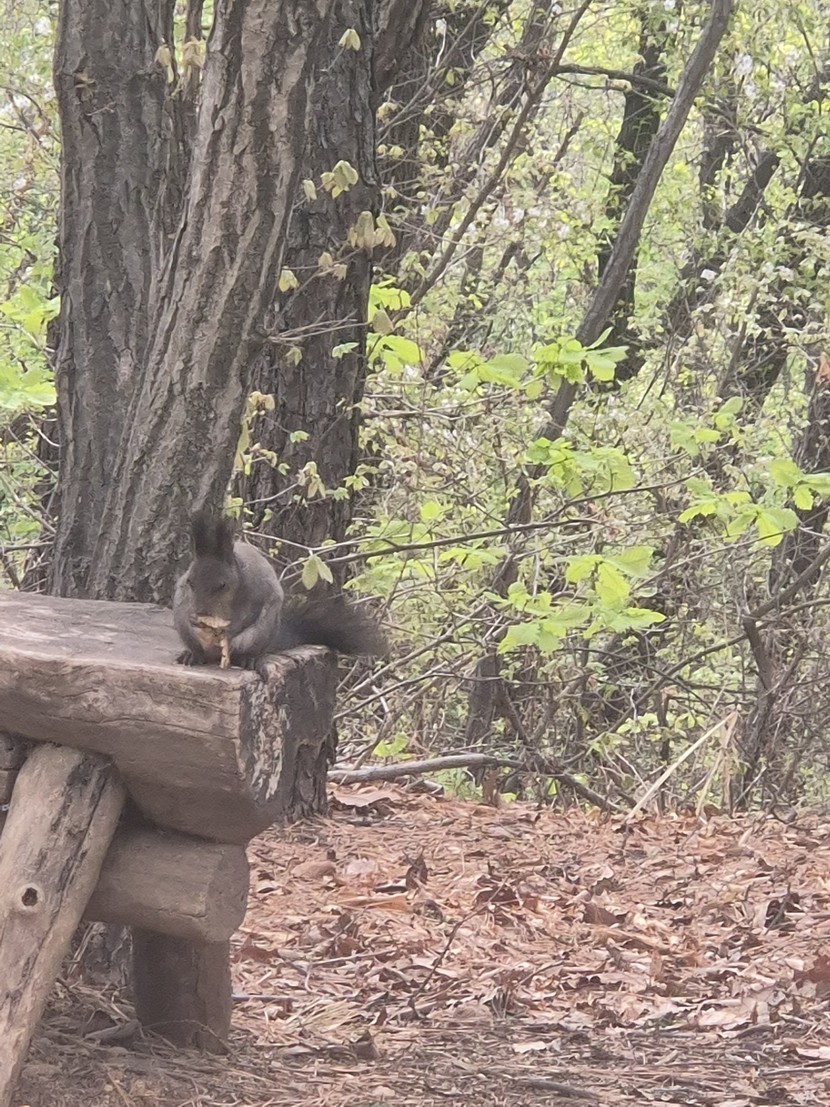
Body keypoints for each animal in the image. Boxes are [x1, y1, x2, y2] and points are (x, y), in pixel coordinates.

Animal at [173, 511, 387, 671]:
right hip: (183, 627)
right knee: (198, 649)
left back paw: (247, 658)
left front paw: (229, 631)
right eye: (190, 581)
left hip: (261, 633)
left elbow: (247, 615)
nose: (200, 612)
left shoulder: (256, 591)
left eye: (223, 585)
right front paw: (195, 620)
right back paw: (192, 655)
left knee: (248, 650)